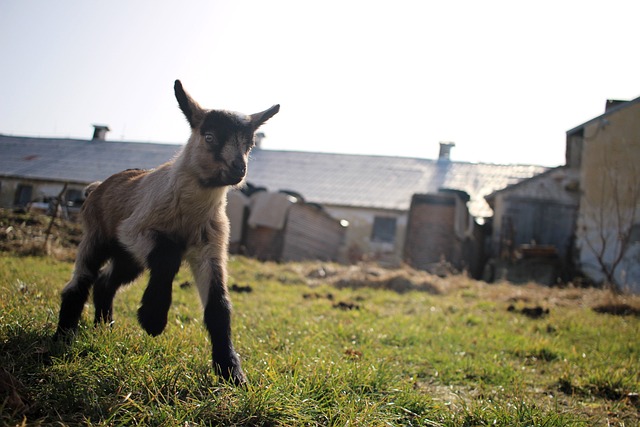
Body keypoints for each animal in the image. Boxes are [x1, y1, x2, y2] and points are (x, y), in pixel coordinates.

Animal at [56, 80, 282, 384]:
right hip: (98, 238)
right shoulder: (136, 229)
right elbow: (168, 255)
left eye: (249, 145)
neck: (189, 215)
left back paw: (104, 327)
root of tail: (97, 186)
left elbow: (219, 307)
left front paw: (232, 372)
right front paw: (153, 317)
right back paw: (63, 336)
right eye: (209, 137)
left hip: (129, 258)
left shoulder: (211, 249)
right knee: (80, 282)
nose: (239, 169)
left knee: (105, 282)